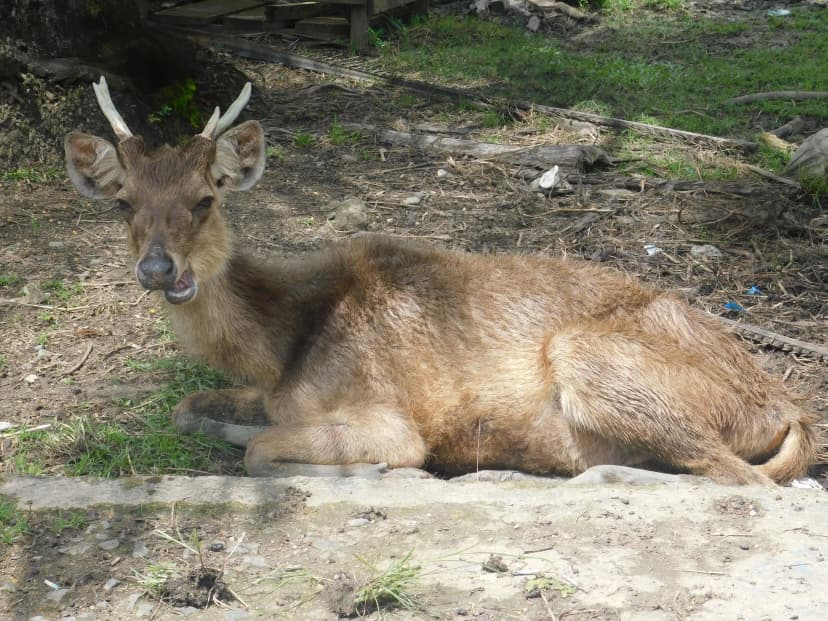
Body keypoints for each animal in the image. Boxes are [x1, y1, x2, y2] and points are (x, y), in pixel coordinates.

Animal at [63, 77, 816, 484]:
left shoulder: (388, 415)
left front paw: (374, 470)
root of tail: (789, 407)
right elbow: (189, 408)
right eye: (124, 201)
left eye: (205, 198)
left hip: (592, 356)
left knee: (741, 479)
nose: (159, 269)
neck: (281, 347)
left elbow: (265, 452)